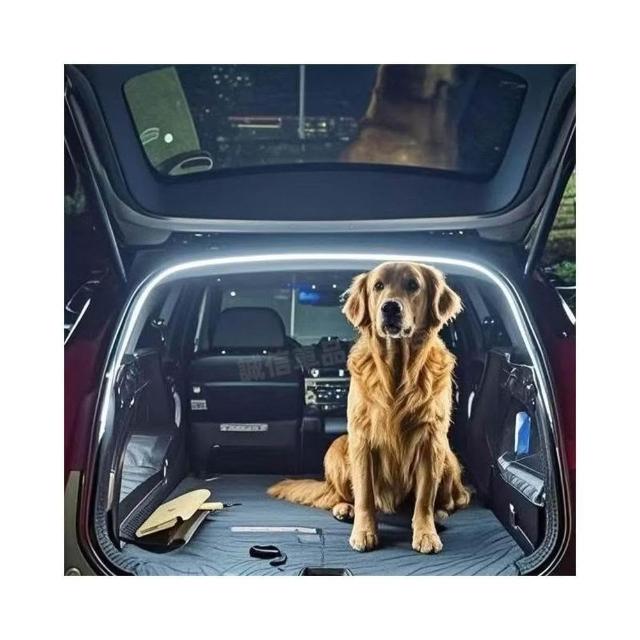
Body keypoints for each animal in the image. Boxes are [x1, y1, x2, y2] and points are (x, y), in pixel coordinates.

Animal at [268, 262, 470, 554]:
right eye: (378, 286)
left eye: (413, 285)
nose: (390, 308)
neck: (397, 371)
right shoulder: (361, 437)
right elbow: (364, 493)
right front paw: (364, 532)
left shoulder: (431, 439)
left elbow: (424, 498)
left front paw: (426, 533)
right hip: (338, 447)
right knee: (340, 495)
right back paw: (344, 508)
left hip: (447, 456)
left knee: (459, 498)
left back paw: (440, 514)